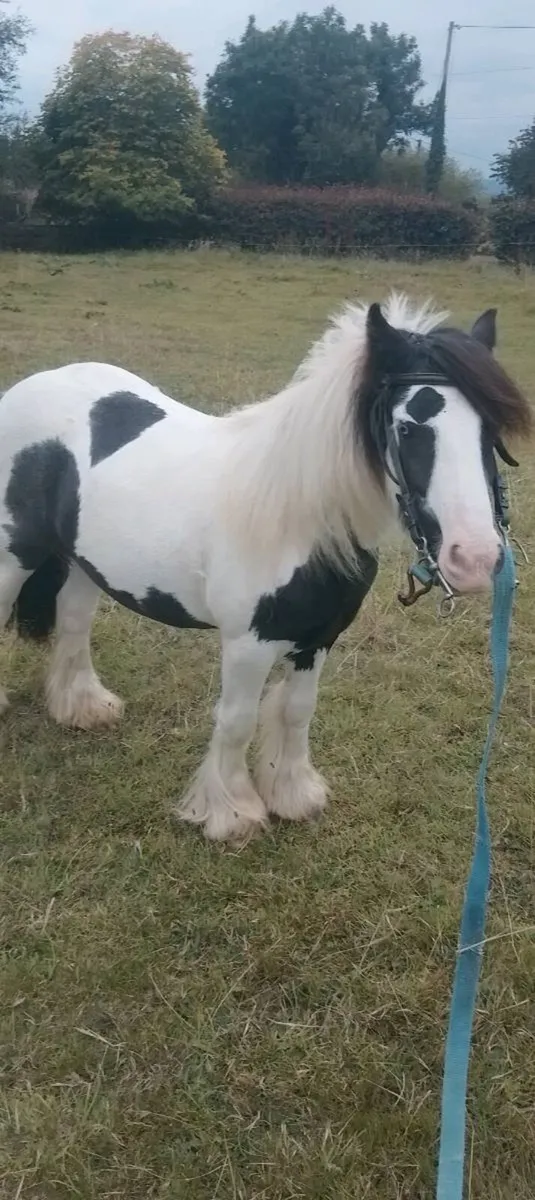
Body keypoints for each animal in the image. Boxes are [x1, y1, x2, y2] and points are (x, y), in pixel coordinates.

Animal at [0, 295, 530, 841]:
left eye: (490, 430)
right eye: (407, 427)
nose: (475, 558)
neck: (298, 521)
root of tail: (33, 384)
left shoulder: (318, 639)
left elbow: (297, 712)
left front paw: (293, 795)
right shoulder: (247, 644)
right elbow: (236, 720)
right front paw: (232, 814)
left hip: (85, 564)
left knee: (73, 622)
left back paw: (83, 707)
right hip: (14, 555)